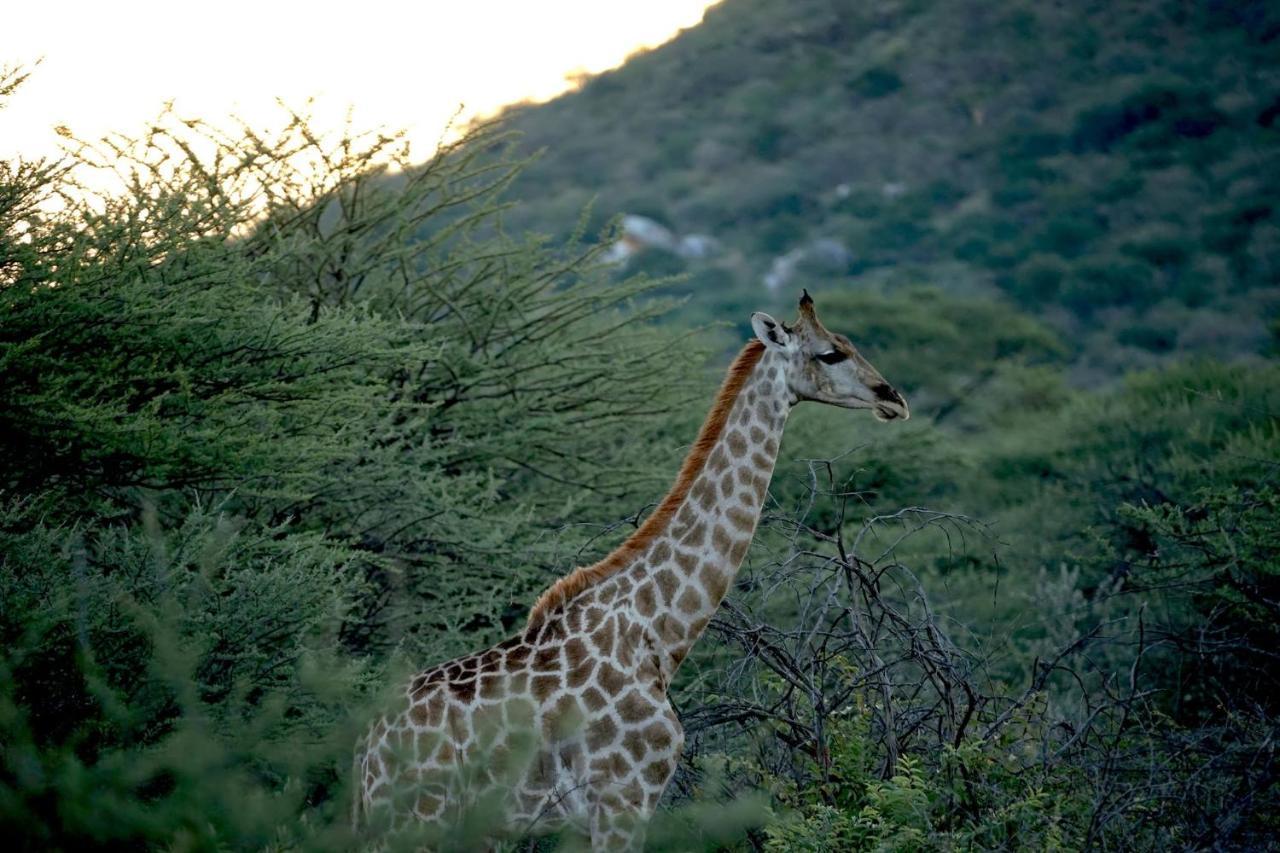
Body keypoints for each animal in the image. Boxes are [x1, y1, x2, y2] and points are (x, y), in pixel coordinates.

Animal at [355, 290, 906, 845]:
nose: (894, 399)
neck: (657, 630)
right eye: (830, 354)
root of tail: (368, 750)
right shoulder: (626, 797)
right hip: (419, 821)